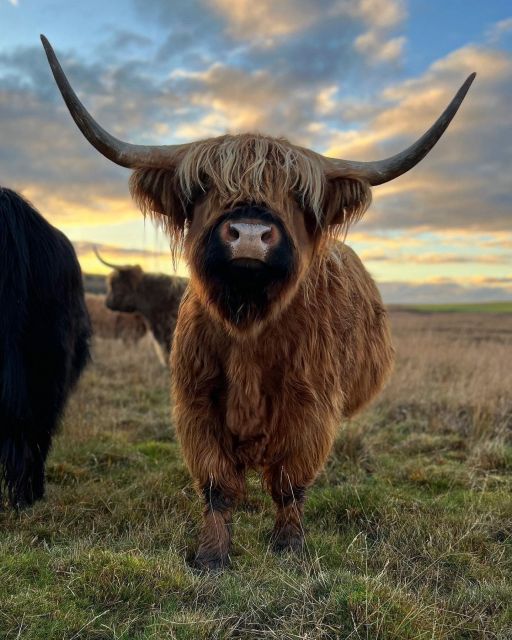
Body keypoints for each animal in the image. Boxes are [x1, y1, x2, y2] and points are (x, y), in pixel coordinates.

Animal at [42, 35, 475, 568]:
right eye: (204, 186)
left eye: (297, 195)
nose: (249, 233)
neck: (248, 324)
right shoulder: (196, 399)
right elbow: (216, 484)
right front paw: (211, 554)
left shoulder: (310, 406)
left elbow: (290, 482)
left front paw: (288, 545)